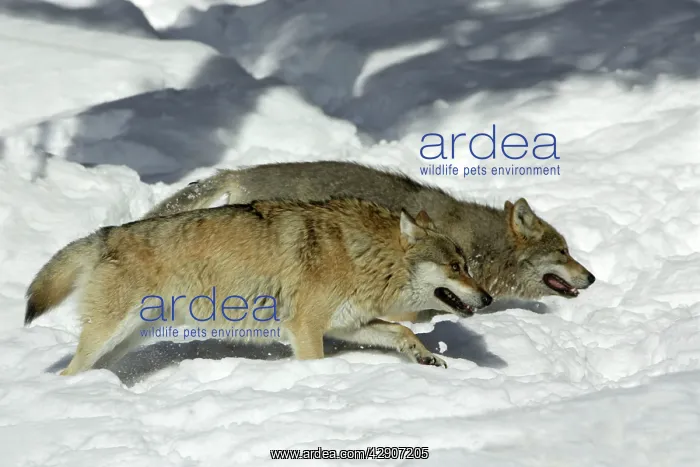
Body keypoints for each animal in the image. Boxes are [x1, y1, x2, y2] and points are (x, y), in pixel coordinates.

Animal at [25, 198, 492, 375]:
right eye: (455, 267)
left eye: (468, 265)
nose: (488, 298)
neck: (361, 253)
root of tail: (106, 234)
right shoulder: (305, 330)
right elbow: (316, 362)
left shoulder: (347, 325)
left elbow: (402, 330)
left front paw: (426, 357)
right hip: (109, 334)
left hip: (124, 341)